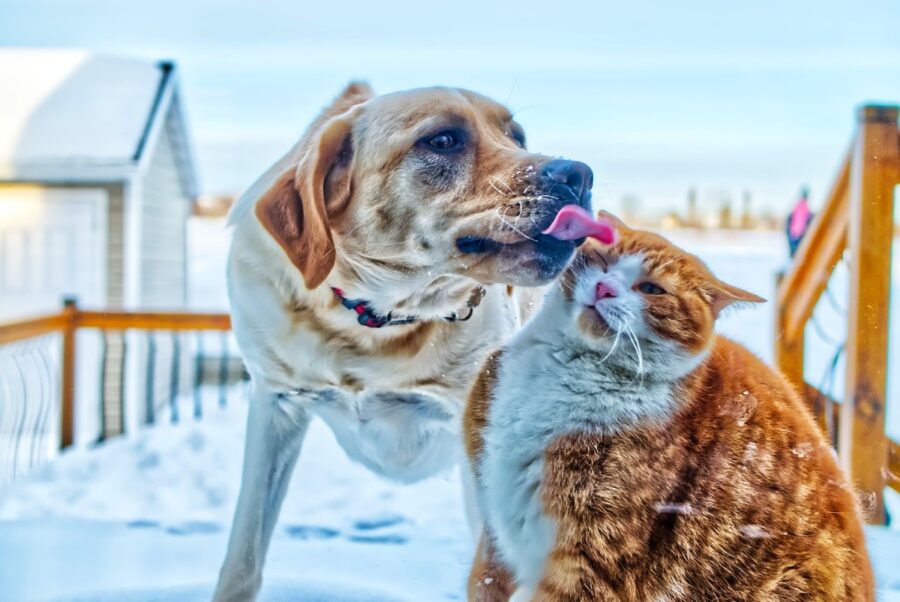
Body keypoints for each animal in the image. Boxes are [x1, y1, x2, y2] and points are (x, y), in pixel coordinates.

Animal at [214, 82, 596, 596]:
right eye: (443, 141)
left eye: (516, 136)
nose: (581, 175)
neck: (377, 322)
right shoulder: (275, 405)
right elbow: (244, 557)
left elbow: (491, 575)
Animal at [464, 216, 872, 600]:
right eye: (603, 260)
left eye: (651, 289)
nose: (604, 288)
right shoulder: (493, 534)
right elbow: (484, 581)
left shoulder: (592, 558)